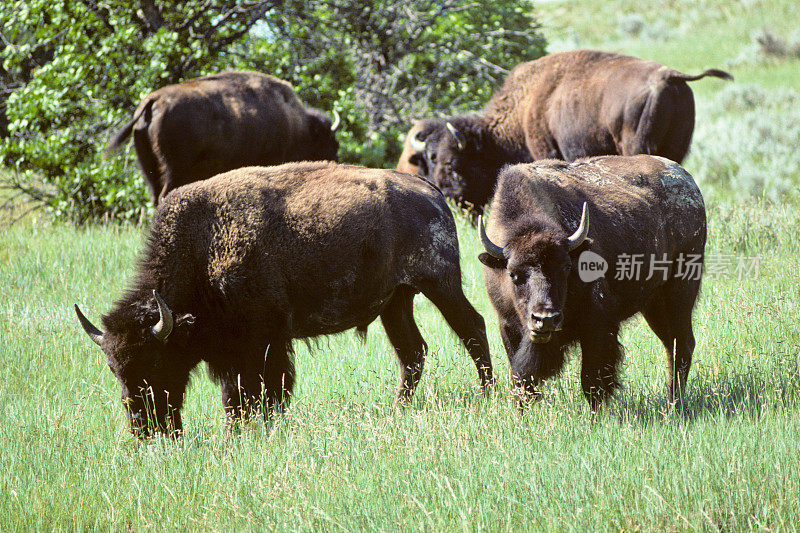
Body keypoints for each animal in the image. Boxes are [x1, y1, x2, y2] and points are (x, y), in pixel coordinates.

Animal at [73, 162, 494, 436]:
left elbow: (260, 390)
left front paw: (250, 430)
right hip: (396, 301)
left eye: (156, 361)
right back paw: (399, 408)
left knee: (472, 328)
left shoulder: (263, 342)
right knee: (413, 352)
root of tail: (431, 192)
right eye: (115, 370)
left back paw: (488, 394)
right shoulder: (239, 351)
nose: (143, 429)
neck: (204, 245)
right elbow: (241, 395)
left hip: (440, 284)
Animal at [104, 70, 340, 204]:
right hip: (174, 169)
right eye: (331, 143)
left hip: (150, 169)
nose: (334, 163)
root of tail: (154, 100)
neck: (299, 125)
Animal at [412, 50, 732, 212]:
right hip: (678, 147)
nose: (450, 201)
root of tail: (669, 76)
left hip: (636, 145)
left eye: (452, 163)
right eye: (429, 160)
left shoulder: (545, 148)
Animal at [476, 156, 708, 406]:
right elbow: (521, 378)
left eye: (567, 267)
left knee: (682, 344)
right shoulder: (508, 326)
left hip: (681, 292)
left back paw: (674, 402)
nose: (545, 319)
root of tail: (689, 183)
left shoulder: (597, 324)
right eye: (513, 273)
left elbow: (592, 378)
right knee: (670, 344)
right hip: (654, 305)